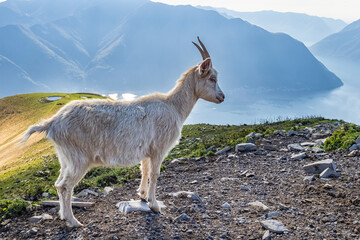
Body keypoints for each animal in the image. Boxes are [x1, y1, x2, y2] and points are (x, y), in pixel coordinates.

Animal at [21, 37, 224, 227]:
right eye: (212, 78)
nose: (222, 97)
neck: (173, 106)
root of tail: (52, 122)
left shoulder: (147, 151)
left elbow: (144, 170)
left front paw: (142, 196)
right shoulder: (159, 149)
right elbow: (155, 174)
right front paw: (154, 205)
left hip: (65, 157)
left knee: (58, 183)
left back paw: (64, 215)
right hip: (79, 157)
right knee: (65, 186)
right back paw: (73, 221)